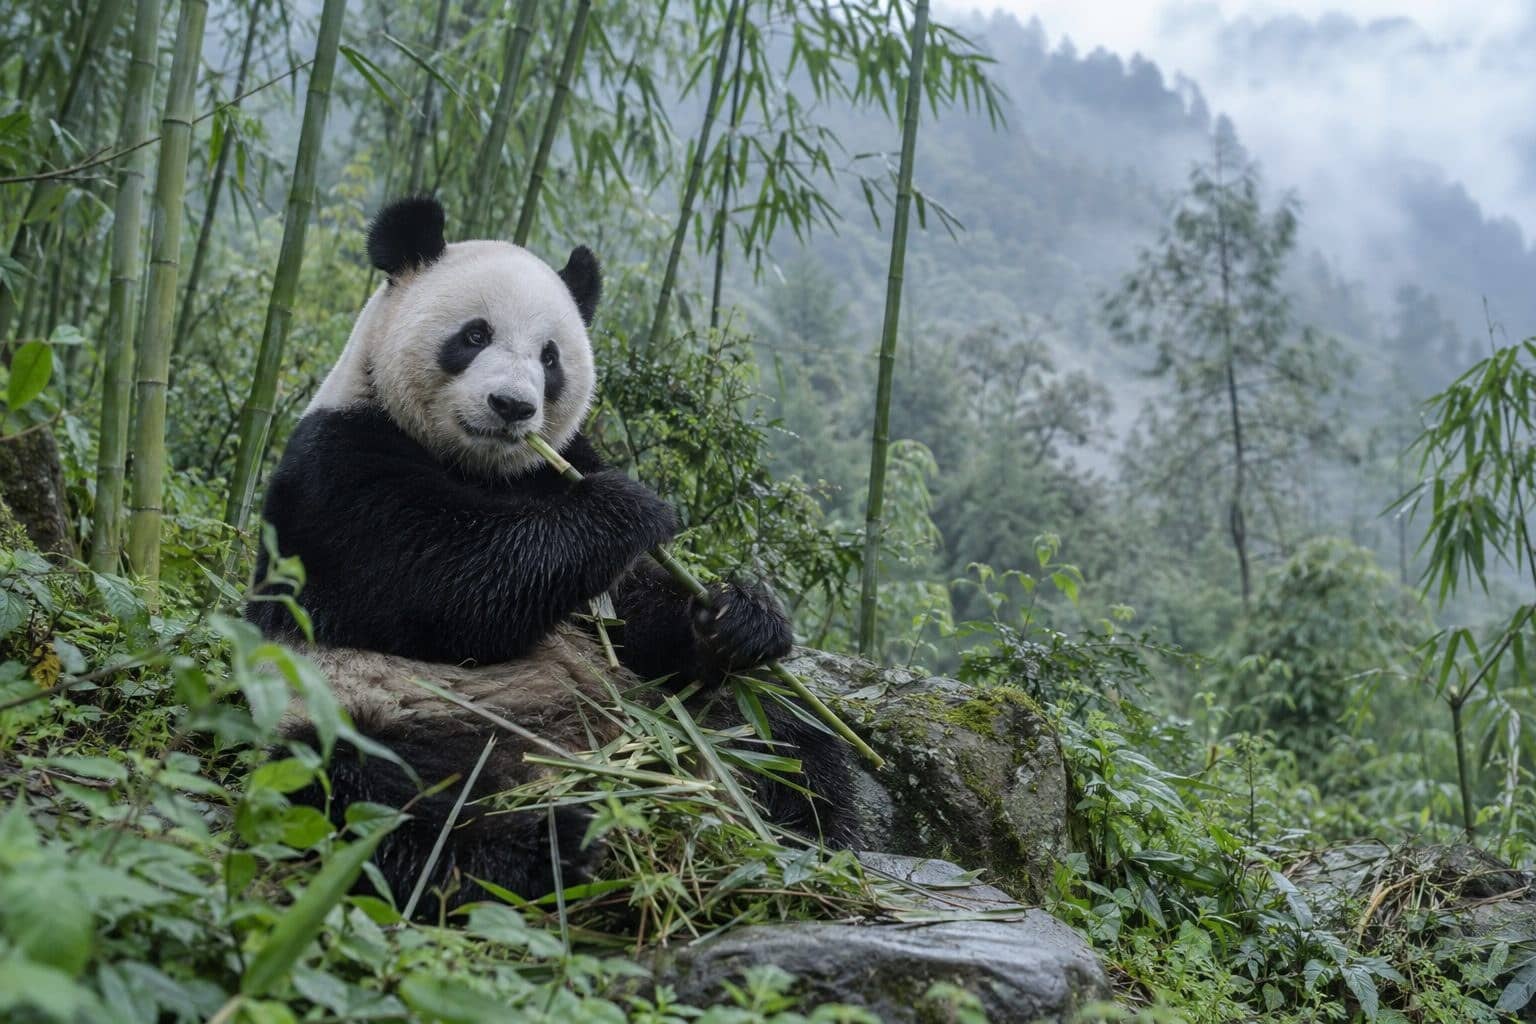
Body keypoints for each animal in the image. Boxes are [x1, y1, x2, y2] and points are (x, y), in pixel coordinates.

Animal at [247, 196, 859, 912]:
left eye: (550, 356)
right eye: (474, 336)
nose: (512, 406)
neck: (483, 468)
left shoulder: (558, 463)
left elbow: (635, 619)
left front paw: (737, 614)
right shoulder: (337, 470)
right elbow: (442, 584)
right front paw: (630, 507)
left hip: (675, 711)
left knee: (782, 734)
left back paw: (809, 837)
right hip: (373, 711)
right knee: (378, 800)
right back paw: (552, 847)